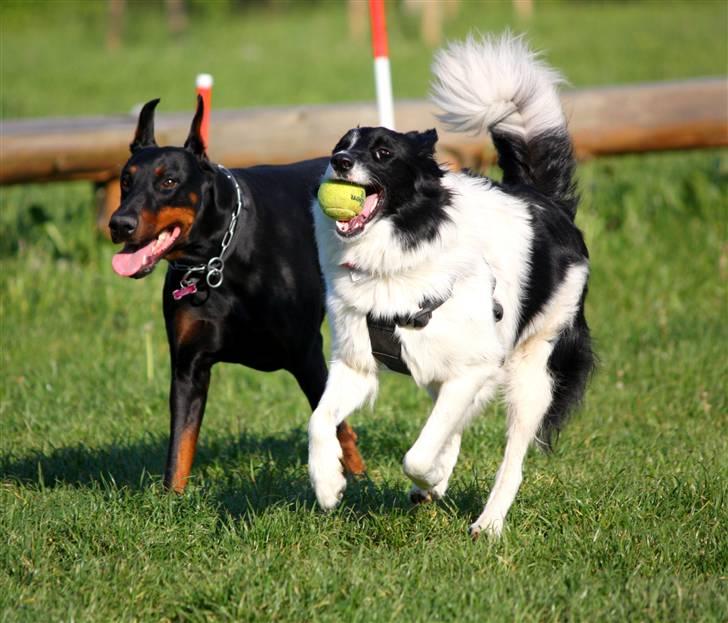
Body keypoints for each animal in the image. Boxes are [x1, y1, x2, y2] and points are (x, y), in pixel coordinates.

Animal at [108, 97, 364, 494]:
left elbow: (335, 423)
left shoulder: (305, 354)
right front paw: (171, 498)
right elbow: (180, 446)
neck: (218, 260)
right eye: (125, 180)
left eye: (168, 181)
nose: (120, 224)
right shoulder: (188, 367)